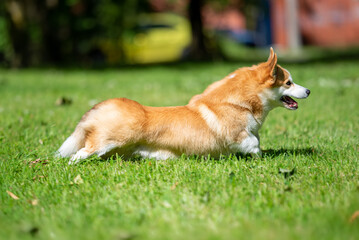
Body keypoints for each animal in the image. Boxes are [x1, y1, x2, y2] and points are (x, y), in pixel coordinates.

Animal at [58, 48, 310, 165]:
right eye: (289, 82)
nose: (308, 91)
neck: (243, 103)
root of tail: (100, 107)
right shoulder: (238, 135)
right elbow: (254, 144)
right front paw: (261, 158)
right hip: (107, 142)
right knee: (79, 153)